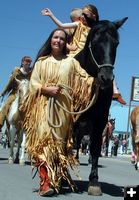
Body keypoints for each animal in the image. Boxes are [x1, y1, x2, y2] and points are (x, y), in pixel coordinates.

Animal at [74, 17, 127, 195]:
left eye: (116, 43)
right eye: (95, 42)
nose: (106, 77)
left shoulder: (100, 119)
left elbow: (96, 147)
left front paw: (94, 181)